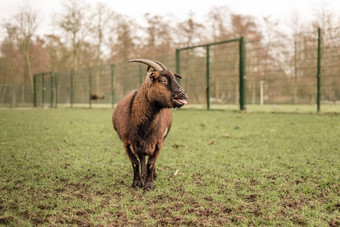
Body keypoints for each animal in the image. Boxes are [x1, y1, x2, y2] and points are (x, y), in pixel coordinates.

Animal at [112, 59, 187, 190]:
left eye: (174, 78)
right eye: (163, 80)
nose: (183, 94)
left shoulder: (158, 142)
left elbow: (151, 163)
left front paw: (149, 185)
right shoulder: (127, 143)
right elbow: (135, 162)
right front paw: (137, 183)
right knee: (142, 158)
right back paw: (143, 175)